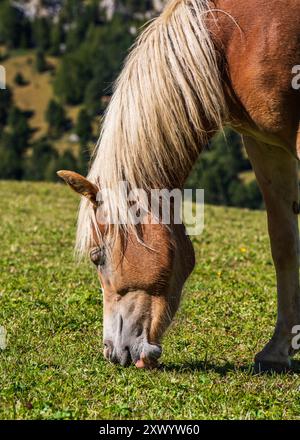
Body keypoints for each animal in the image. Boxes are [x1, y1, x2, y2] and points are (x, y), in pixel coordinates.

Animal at [58, 0, 300, 372]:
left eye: (97, 258)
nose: (114, 353)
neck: (236, 38)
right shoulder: (265, 146)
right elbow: (284, 245)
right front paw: (276, 350)